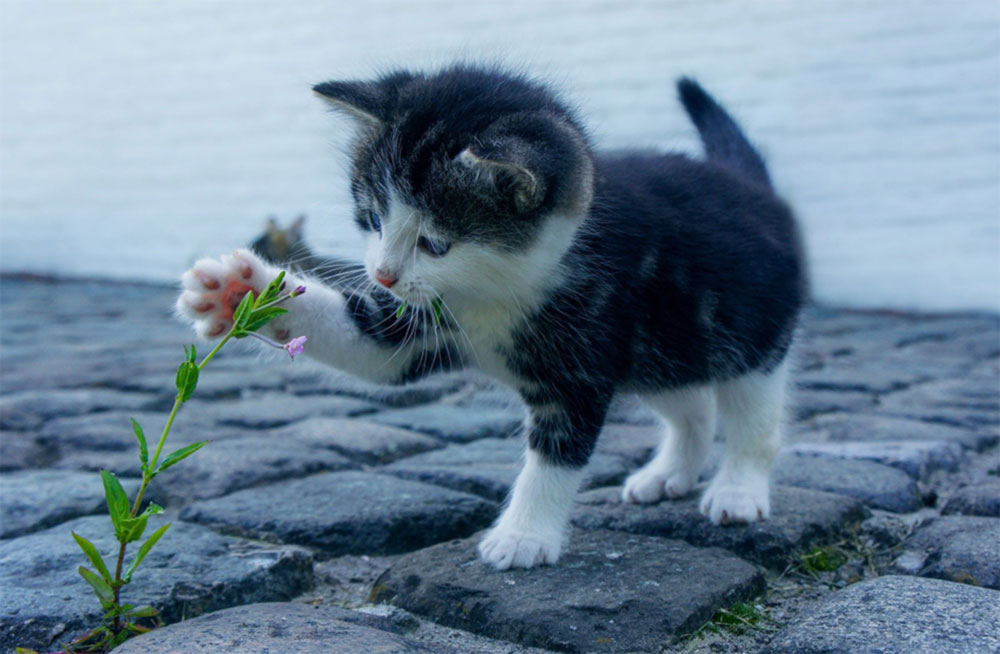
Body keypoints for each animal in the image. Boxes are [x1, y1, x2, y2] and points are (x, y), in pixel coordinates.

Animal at [178, 64, 804, 572]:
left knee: (752, 417)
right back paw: (669, 473)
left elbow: (556, 454)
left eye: (435, 243)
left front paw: (524, 536)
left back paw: (738, 490)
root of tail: (751, 185)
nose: (382, 274)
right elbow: (370, 346)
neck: (495, 290)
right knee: (691, 404)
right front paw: (240, 292)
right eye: (373, 218)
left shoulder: (583, 357)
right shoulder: (420, 322)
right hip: (661, 347)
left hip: (749, 334)